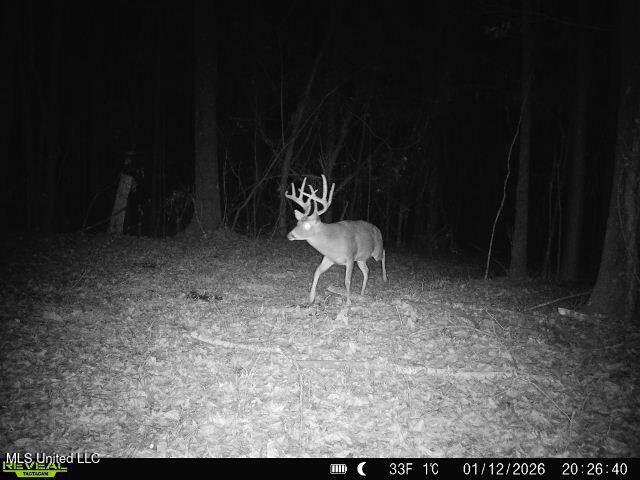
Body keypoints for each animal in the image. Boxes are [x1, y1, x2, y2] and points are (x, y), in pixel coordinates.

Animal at [285, 174, 387, 305]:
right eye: (297, 223)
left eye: (307, 225)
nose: (289, 235)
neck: (331, 241)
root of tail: (378, 229)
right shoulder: (329, 258)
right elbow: (316, 272)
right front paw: (311, 298)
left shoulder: (350, 257)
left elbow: (347, 280)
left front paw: (348, 302)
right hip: (361, 258)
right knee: (366, 270)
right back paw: (362, 293)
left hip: (375, 251)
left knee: (383, 253)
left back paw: (384, 278)